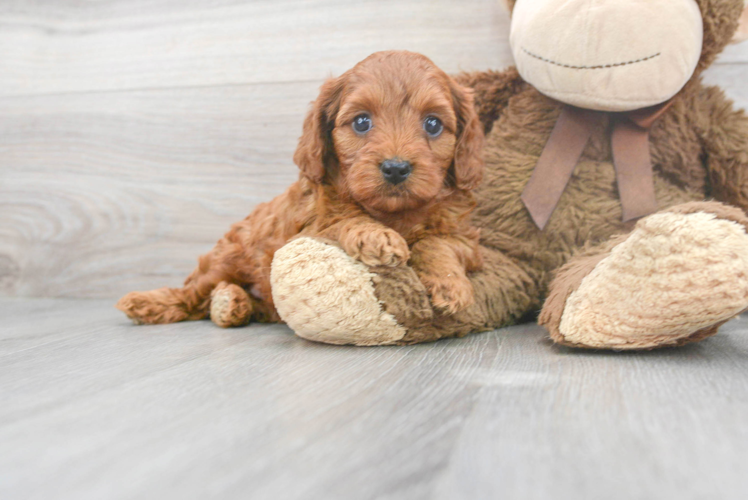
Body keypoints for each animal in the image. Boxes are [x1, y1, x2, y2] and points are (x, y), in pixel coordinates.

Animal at [118, 48, 486, 326]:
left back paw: (232, 303)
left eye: (433, 124)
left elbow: (438, 243)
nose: (396, 168)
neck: (394, 213)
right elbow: (341, 220)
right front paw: (374, 235)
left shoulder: (467, 240)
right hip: (226, 257)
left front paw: (451, 286)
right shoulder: (302, 235)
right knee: (192, 294)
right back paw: (152, 303)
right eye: (362, 122)